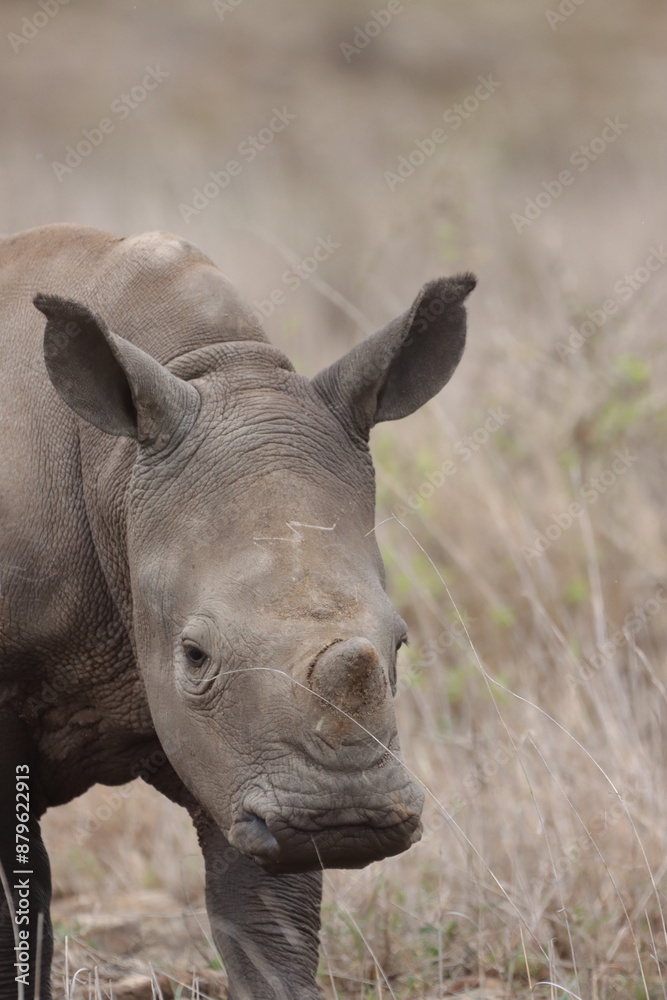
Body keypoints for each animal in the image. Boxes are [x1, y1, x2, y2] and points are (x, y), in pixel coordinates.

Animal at [0, 224, 475, 999]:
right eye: (194, 656)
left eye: (401, 645)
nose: (344, 819)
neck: (116, 470)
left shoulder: (244, 757)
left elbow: (265, 928)